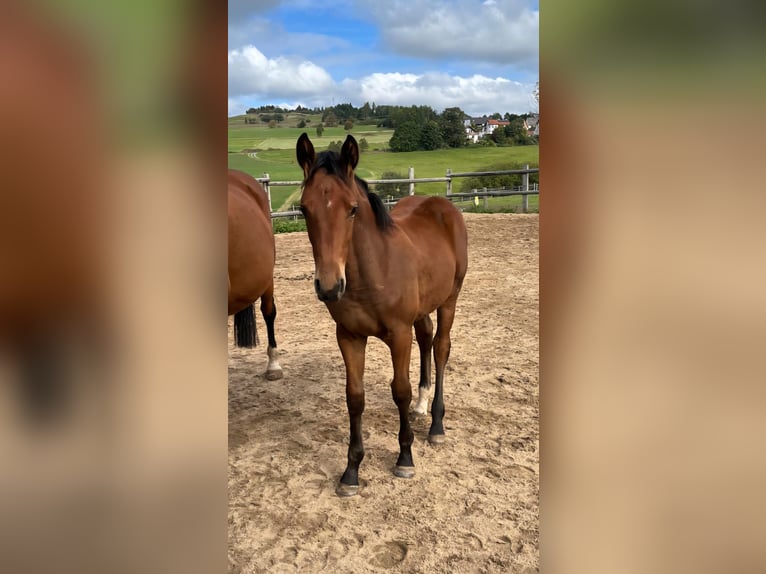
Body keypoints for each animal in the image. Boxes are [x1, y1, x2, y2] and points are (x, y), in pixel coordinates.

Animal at [296, 133, 468, 496]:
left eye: (352, 209)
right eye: (304, 209)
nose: (329, 287)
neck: (371, 271)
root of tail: (443, 205)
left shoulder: (398, 334)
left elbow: (399, 390)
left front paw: (405, 457)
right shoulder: (349, 336)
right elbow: (355, 397)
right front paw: (351, 471)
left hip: (450, 298)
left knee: (441, 347)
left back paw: (436, 425)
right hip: (423, 308)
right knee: (427, 337)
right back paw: (421, 405)